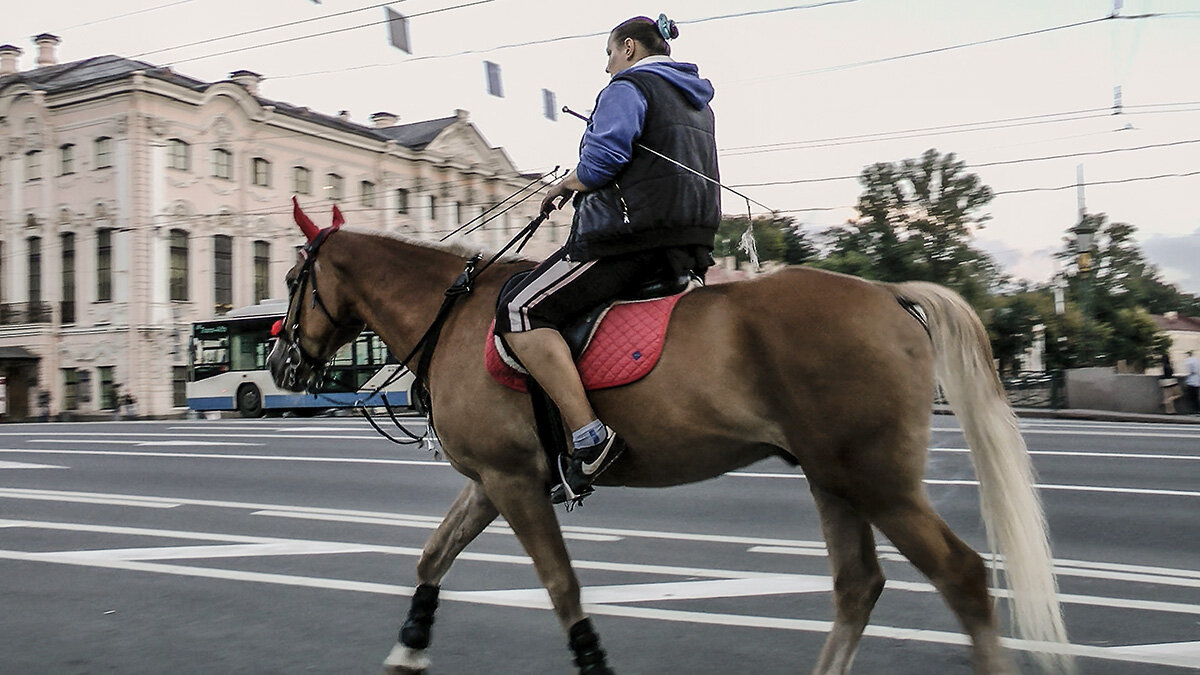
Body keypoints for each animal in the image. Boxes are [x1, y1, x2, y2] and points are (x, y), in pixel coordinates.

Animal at [270, 204, 1070, 672]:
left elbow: (561, 584)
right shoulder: (495, 480)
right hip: (834, 478)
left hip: (878, 482)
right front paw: (408, 648)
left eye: (288, 279)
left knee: (962, 576)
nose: (281, 365)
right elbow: (433, 555)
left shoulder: (513, 482)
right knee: (857, 586)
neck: (460, 317)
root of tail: (888, 293)